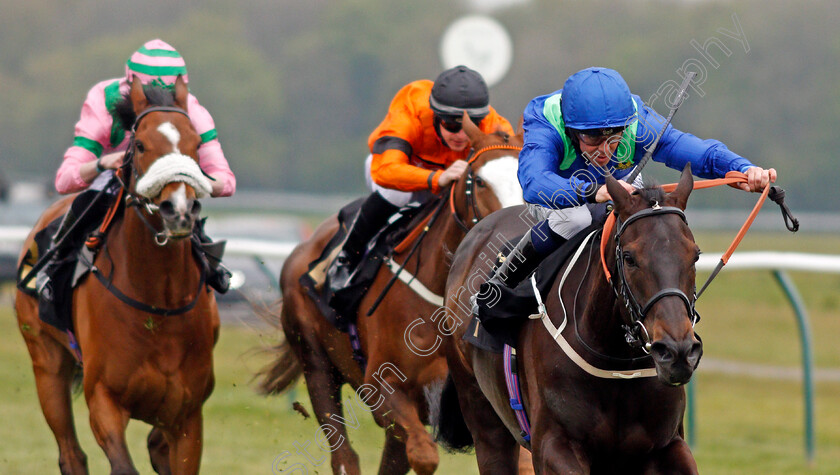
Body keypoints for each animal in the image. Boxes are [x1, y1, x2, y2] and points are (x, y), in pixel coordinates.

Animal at [17, 76, 220, 474]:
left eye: (196, 146)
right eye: (139, 145)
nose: (178, 210)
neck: (158, 302)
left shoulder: (188, 415)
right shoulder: (104, 399)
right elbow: (123, 464)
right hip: (46, 360)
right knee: (71, 453)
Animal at [436, 165, 704, 474]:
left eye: (695, 255)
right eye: (629, 257)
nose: (677, 352)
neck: (617, 363)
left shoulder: (666, 444)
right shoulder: (553, 444)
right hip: (483, 419)